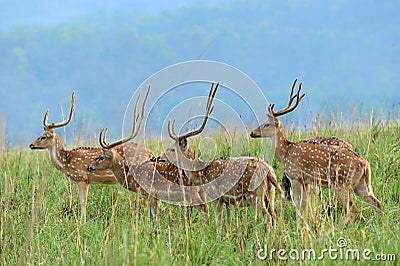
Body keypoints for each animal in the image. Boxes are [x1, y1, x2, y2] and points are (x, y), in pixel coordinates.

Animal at [29, 92, 121, 221]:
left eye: (43, 137)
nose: (31, 145)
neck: (66, 161)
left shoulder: (82, 178)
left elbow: (83, 202)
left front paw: (82, 221)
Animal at [87, 86, 209, 219]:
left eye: (101, 157)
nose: (89, 166)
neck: (132, 177)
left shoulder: (151, 195)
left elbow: (154, 218)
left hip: (192, 193)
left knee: (205, 210)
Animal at [156, 82, 284, 232]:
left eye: (172, 149)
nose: (159, 157)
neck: (202, 174)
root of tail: (269, 171)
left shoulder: (215, 196)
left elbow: (218, 223)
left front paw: (217, 236)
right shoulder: (227, 200)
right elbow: (227, 223)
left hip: (255, 194)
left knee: (267, 217)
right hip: (271, 194)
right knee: (273, 215)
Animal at [248, 79, 382, 224]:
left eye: (267, 124)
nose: (252, 133)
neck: (285, 153)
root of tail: (365, 164)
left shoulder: (295, 176)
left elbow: (298, 202)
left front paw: (299, 224)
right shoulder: (307, 181)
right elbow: (305, 203)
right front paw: (307, 222)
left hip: (341, 184)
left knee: (353, 209)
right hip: (362, 184)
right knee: (376, 203)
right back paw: (383, 224)